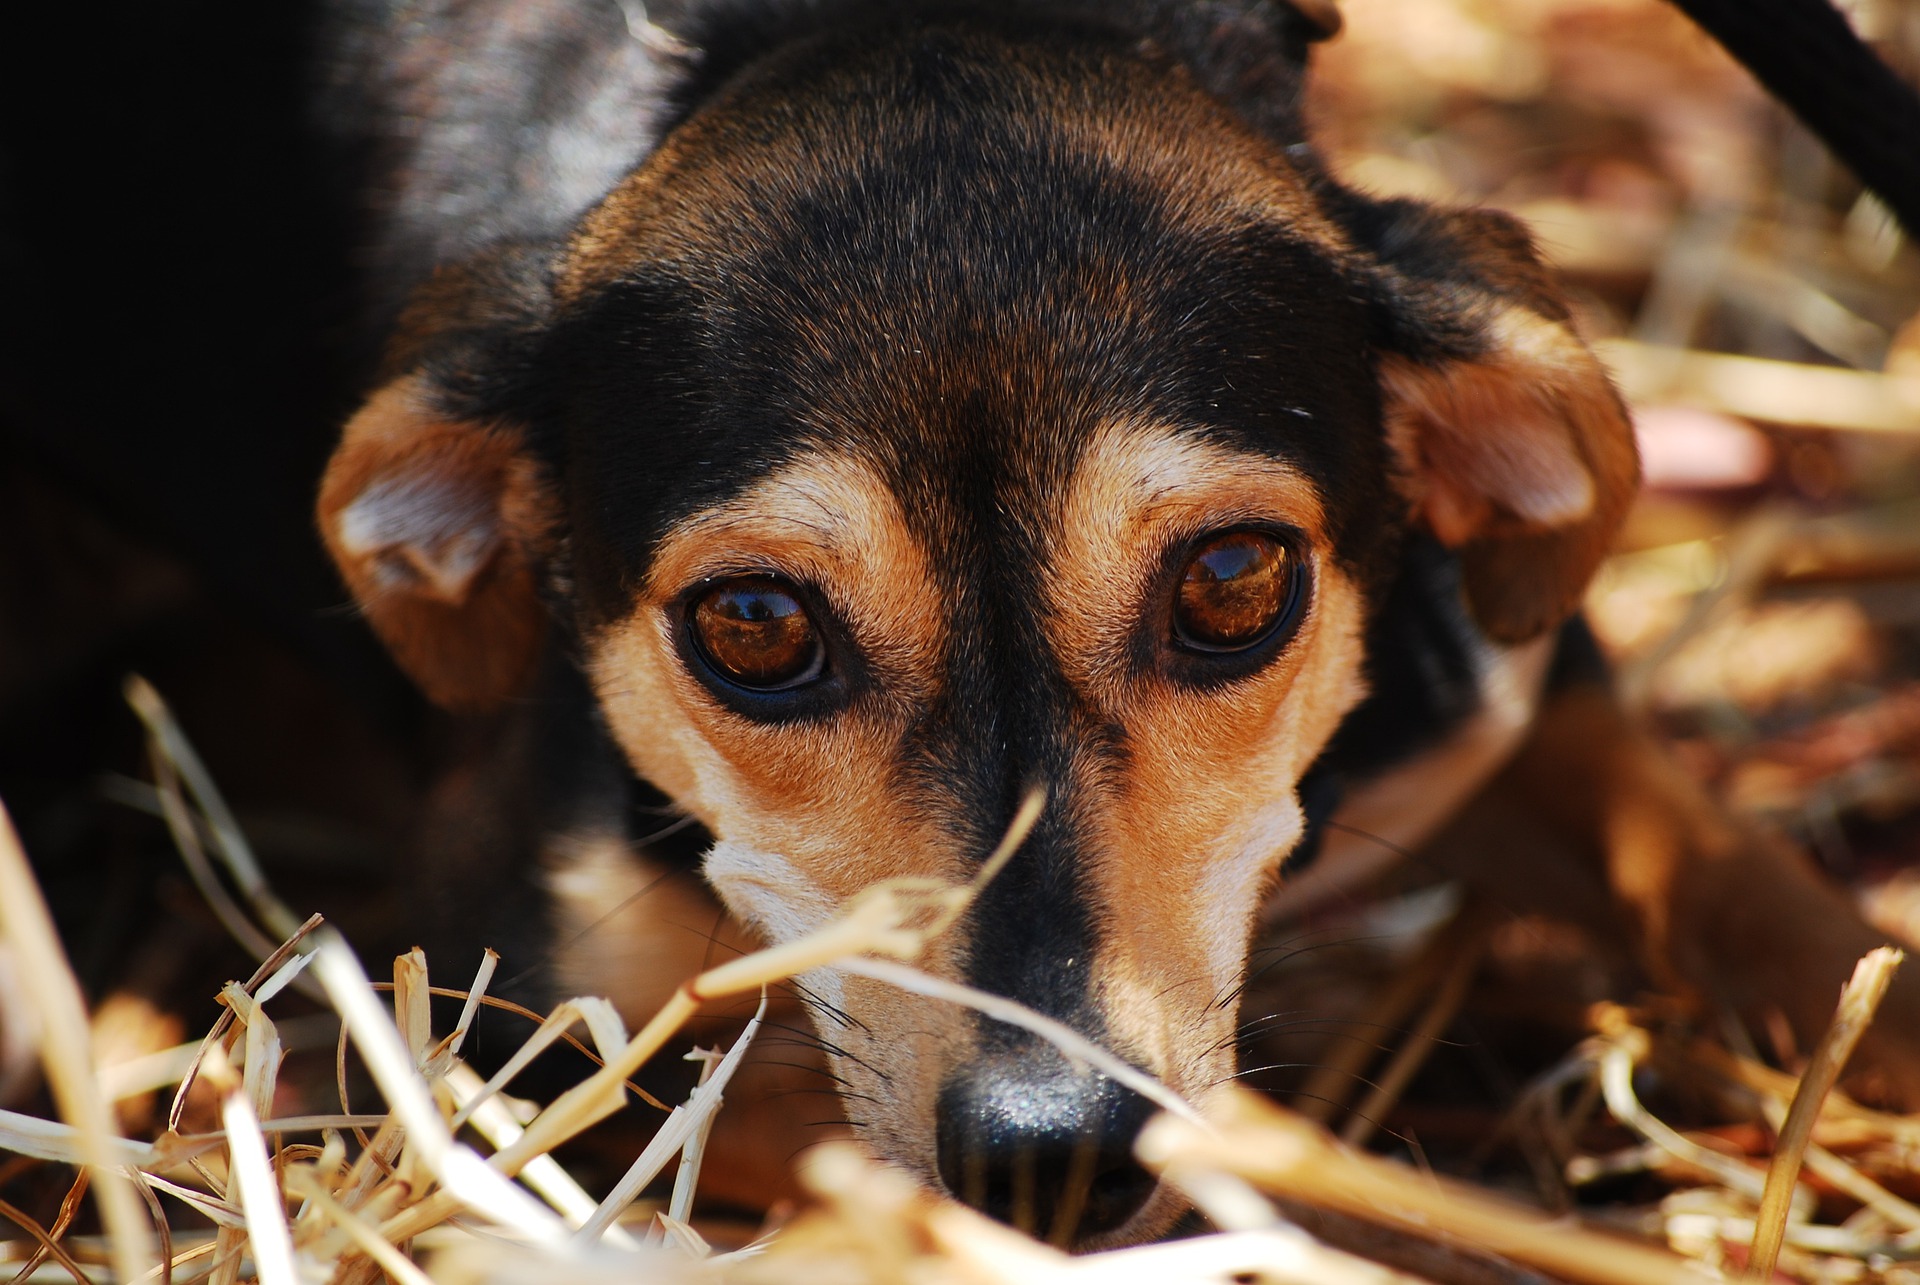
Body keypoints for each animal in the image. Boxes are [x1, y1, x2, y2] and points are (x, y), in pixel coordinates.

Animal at [307, 0, 1920, 1244]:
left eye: (1233, 580)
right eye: (754, 624)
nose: (1053, 1151)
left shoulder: (1511, 710)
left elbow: (1754, 892)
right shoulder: (515, 1025)